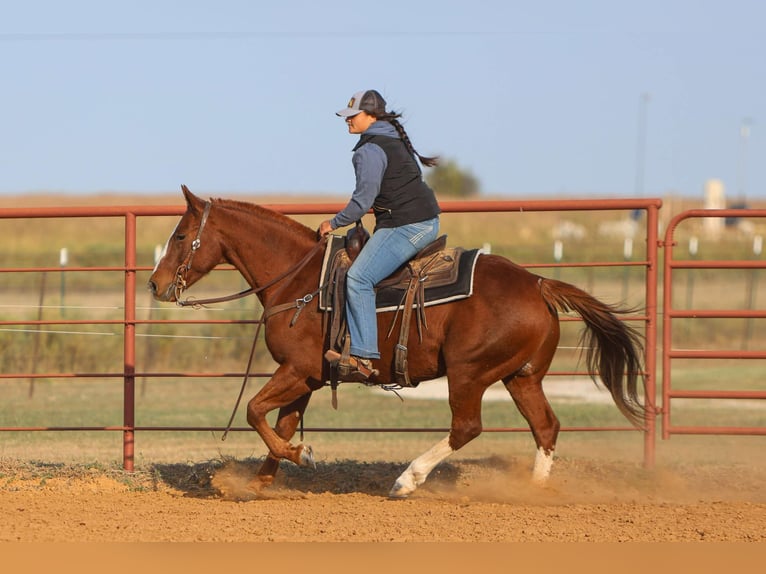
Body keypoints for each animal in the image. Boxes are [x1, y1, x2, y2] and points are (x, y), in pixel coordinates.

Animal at [148, 185, 646, 498]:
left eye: (180, 234)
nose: (154, 284)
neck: (300, 281)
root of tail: (539, 284)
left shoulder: (296, 370)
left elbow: (254, 411)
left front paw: (301, 456)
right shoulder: (306, 378)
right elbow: (281, 424)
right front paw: (261, 482)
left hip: (469, 372)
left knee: (467, 427)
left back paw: (408, 480)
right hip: (522, 377)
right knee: (545, 427)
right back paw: (534, 492)